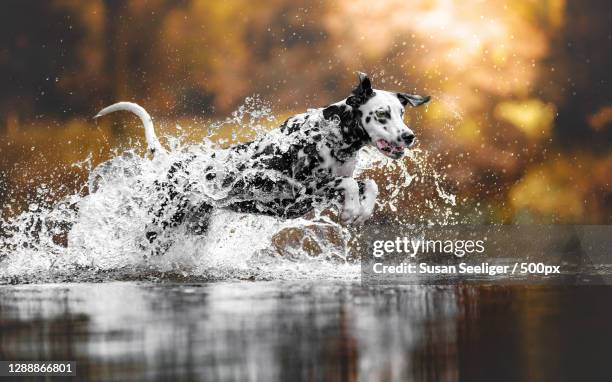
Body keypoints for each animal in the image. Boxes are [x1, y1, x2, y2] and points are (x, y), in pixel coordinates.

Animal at [95, 73, 430, 249]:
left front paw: (362, 210)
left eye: (402, 113)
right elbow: (347, 183)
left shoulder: (322, 190)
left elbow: (367, 183)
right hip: (158, 231)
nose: (409, 136)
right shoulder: (300, 193)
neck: (329, 136)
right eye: (382, 114)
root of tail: (172, 163)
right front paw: (351, 209)